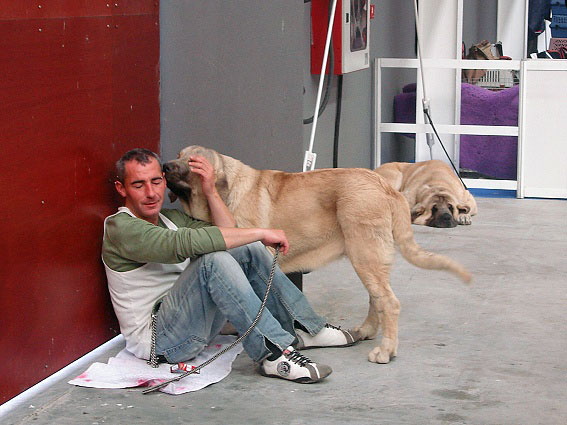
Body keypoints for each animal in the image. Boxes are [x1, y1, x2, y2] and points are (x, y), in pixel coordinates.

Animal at [162, 146, 472, 362]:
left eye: (192, 163)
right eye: (178, 155)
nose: (165, 165)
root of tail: (386, 188)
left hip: (365, 255)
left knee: (389, 302)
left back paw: (385, 351)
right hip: (367, 257)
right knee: (377, 299)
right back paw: (367, 331)